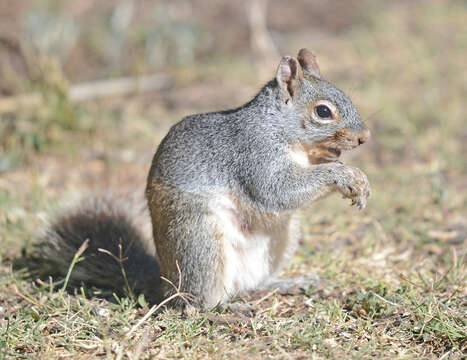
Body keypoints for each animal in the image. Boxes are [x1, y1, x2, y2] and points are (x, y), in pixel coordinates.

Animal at [41, 48, 370, 310]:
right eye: (323, 111)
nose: (364, 138)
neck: (280, 129)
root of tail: (167, 282)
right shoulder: (255, 154)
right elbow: (277, 191)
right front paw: (346, 175)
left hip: (280, 241)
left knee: (249, 285)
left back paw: (287, 283)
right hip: (201, 239)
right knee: (197, 301)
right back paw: (224, 310)